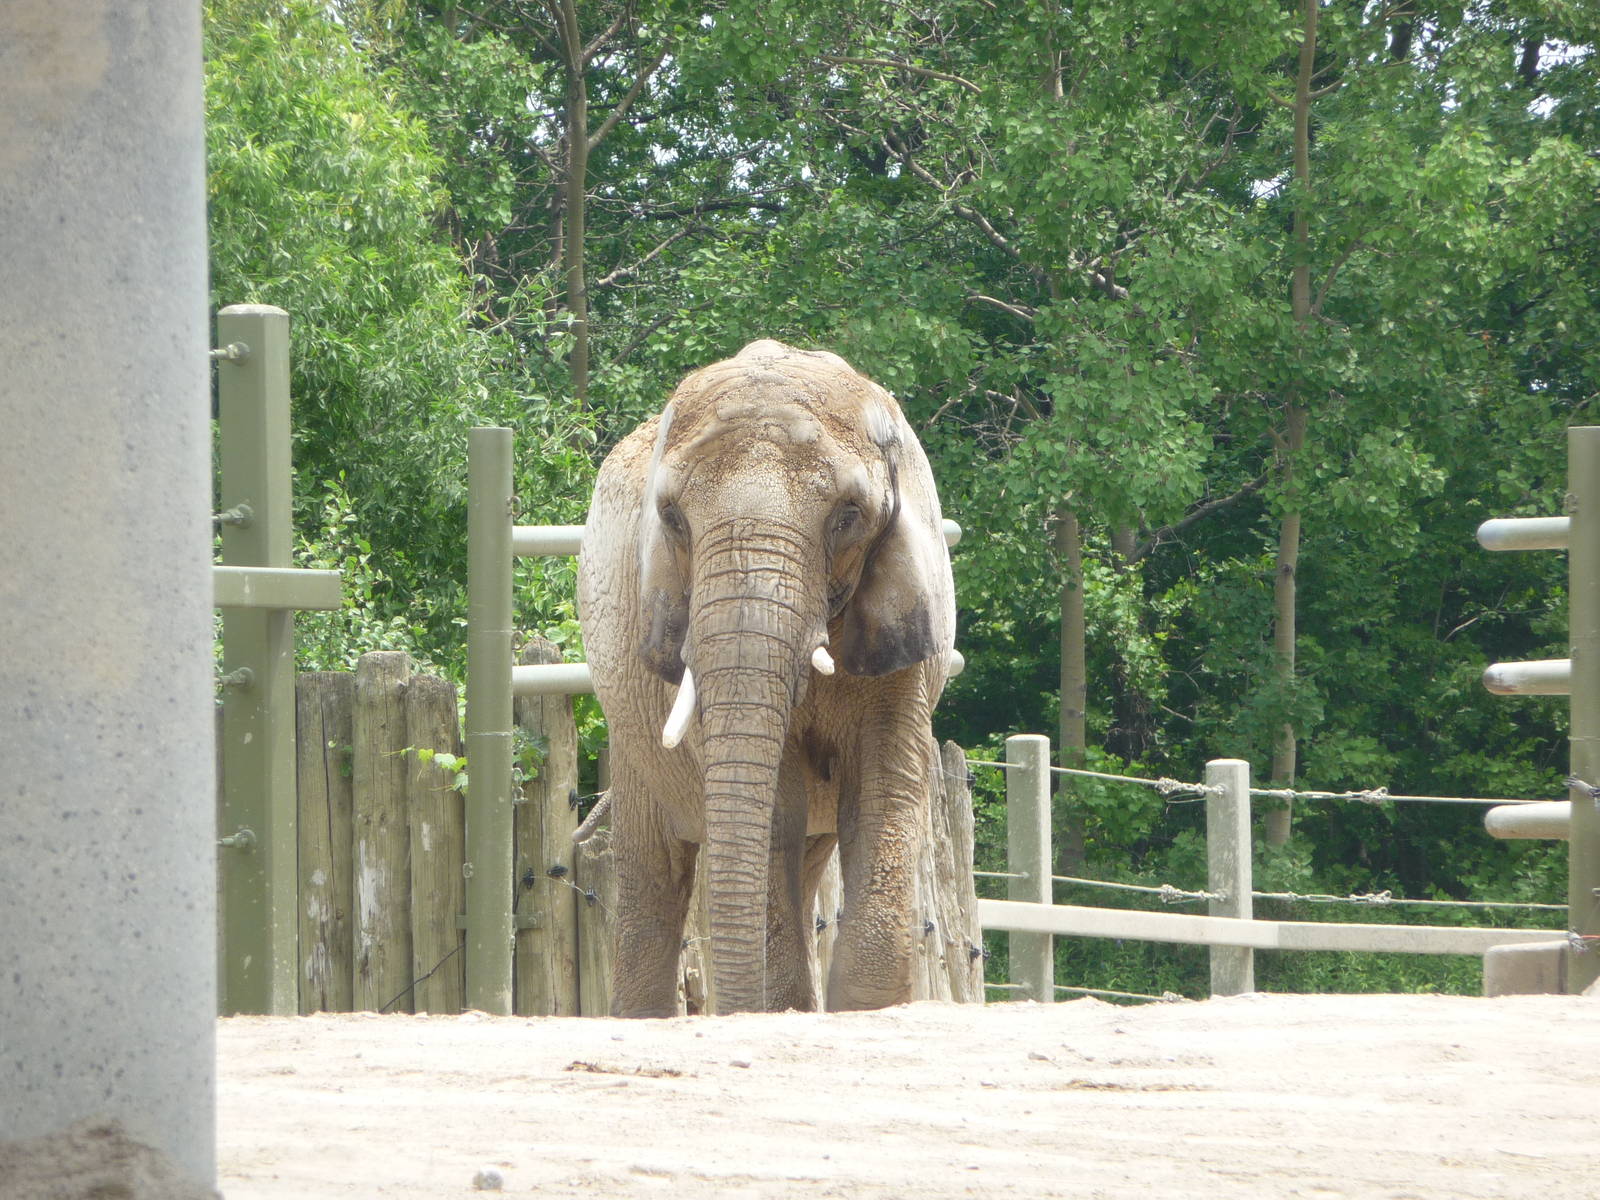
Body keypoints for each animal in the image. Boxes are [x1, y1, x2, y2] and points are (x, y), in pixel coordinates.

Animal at [576, 339, 956, 1017]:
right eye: (672, 518)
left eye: (848, 515)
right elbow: (776, 804)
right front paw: (784, 1008)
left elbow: (883, 791)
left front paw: (864, 1010)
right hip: (631, 733)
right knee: (656, 871)